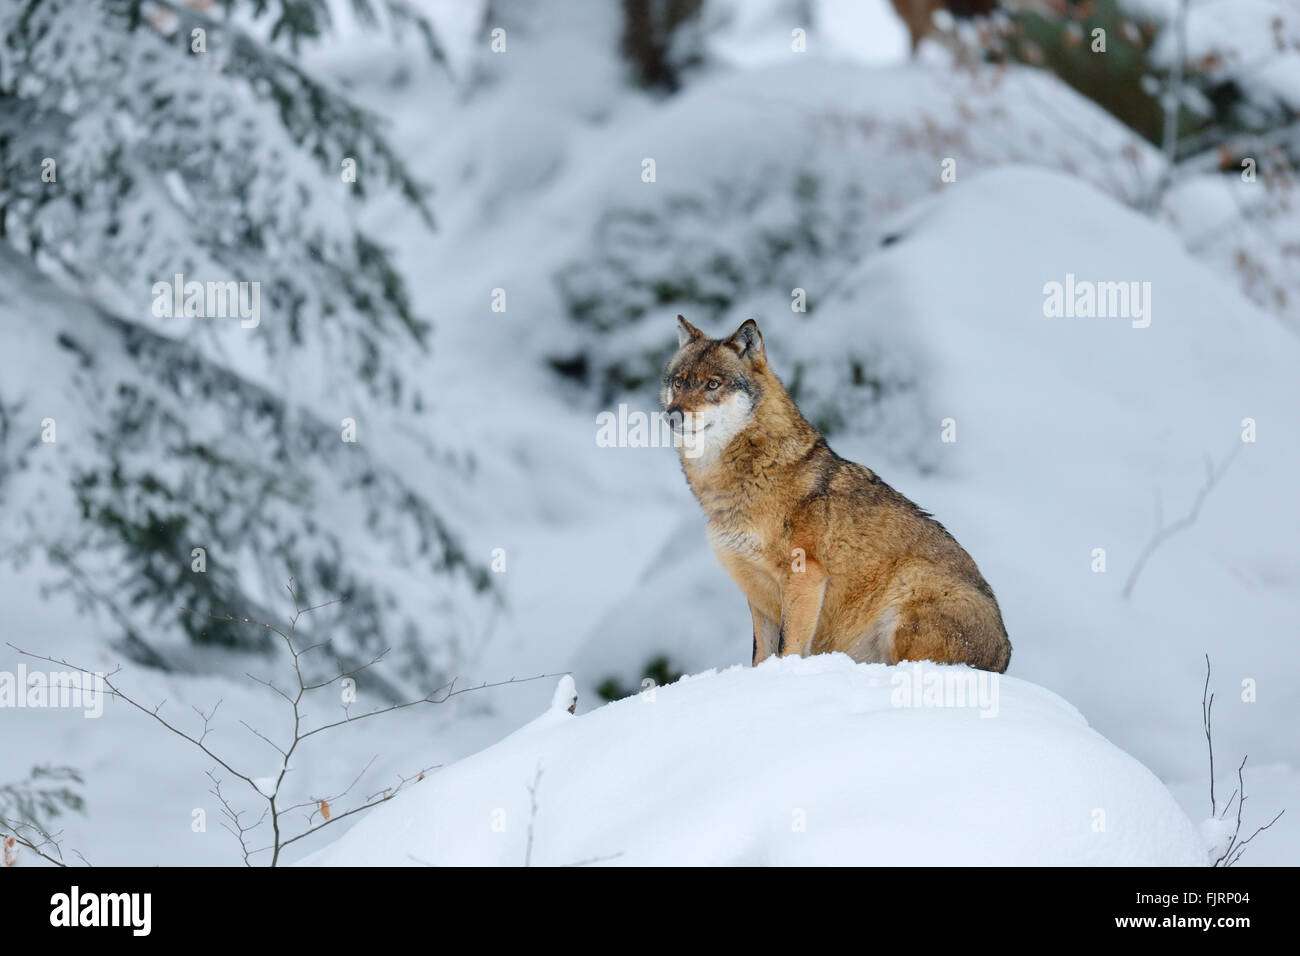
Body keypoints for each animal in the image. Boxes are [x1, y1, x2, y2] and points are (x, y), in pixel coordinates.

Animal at [665, 316, 1008, 671]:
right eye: (678, 382)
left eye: (713, 385)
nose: (673, 415)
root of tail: (1005, 656)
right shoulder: (756, 595)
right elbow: (761, 656)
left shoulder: (805, 577)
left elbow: (788, 647)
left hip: (907, 600)